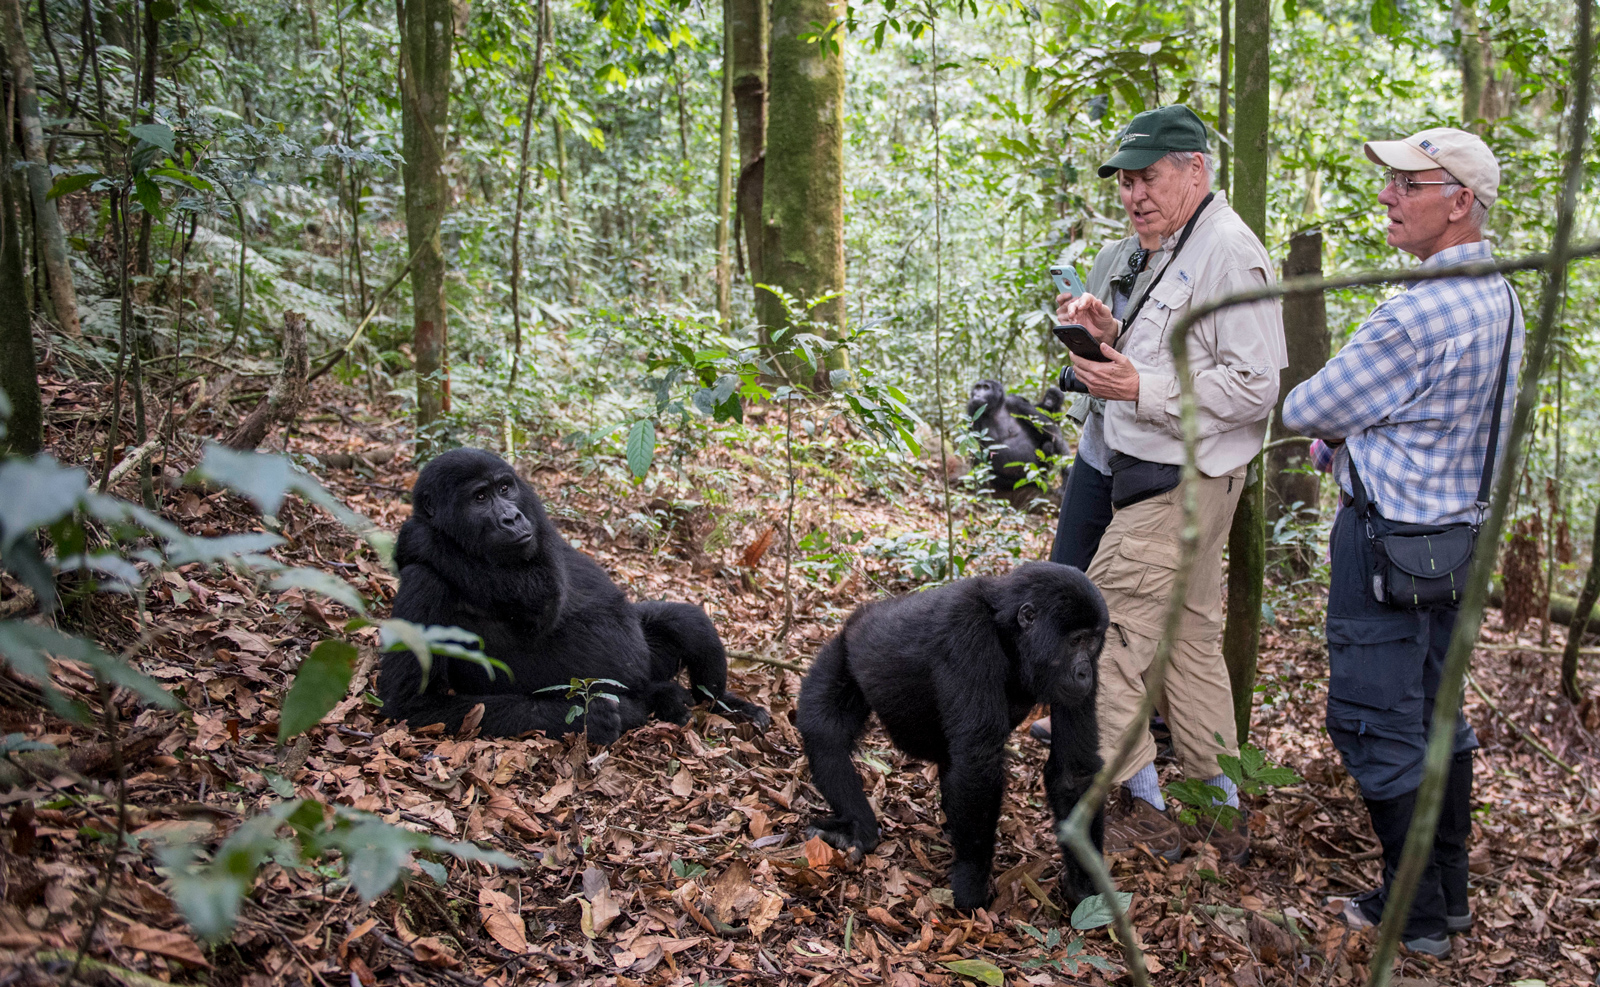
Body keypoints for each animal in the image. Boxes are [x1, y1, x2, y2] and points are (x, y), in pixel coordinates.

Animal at [380, 447, 768, 739]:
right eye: (479, 497)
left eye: (504, 489)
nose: (511, 518)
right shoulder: (421, 584)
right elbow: (415, 706)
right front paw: (593, 718)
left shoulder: (532, 508)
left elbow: (546, 592)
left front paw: (421, 538)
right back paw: (662, 699)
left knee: (684, 621)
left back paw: (725, 703)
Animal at [796, 563, 1107, 908]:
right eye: (1075, 641)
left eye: (1092, 642)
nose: (1085, 672)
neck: (1007, 634)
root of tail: (864, 613)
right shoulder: (967, 637)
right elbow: (977, 762)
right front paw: (972, 878)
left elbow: (1072, 770)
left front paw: (1085, 881)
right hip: (842, 648)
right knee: (826, 732)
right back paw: (857, 828)